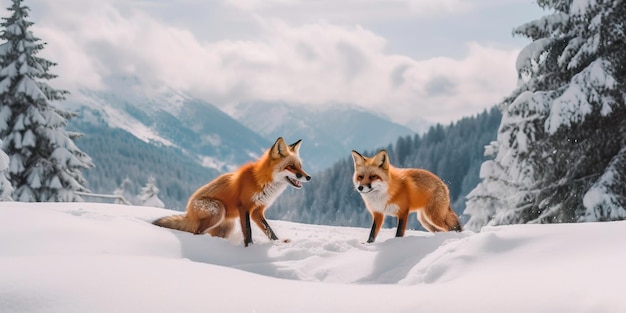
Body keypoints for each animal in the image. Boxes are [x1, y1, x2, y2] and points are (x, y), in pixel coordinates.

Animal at [154, 137, 310, 246]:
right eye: (291, 166)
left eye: (300, 166)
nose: (308, 177)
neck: (260, 181)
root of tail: (188, 212)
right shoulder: (244, 206)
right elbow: (248, 231)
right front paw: (250, 248)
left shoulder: (257, 211)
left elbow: (269, 231)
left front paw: (278, 243)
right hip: (218, 210)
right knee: (196, 232)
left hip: (226, 226)